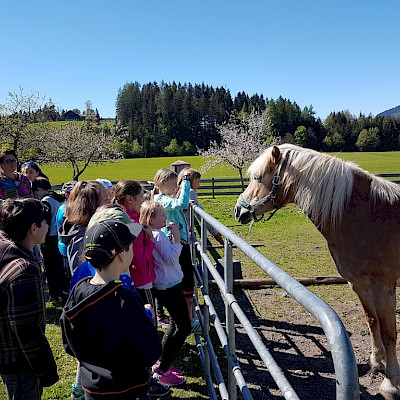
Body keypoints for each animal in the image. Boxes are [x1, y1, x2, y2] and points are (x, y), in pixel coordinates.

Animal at [234, 142, 400, 398]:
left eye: (258, 178)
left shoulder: (384, 287)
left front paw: (390, 383)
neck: (366, 215)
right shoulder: (360, 285)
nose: (238, 211)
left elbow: (389, 333)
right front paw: (376, 363)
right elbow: (372, 322)